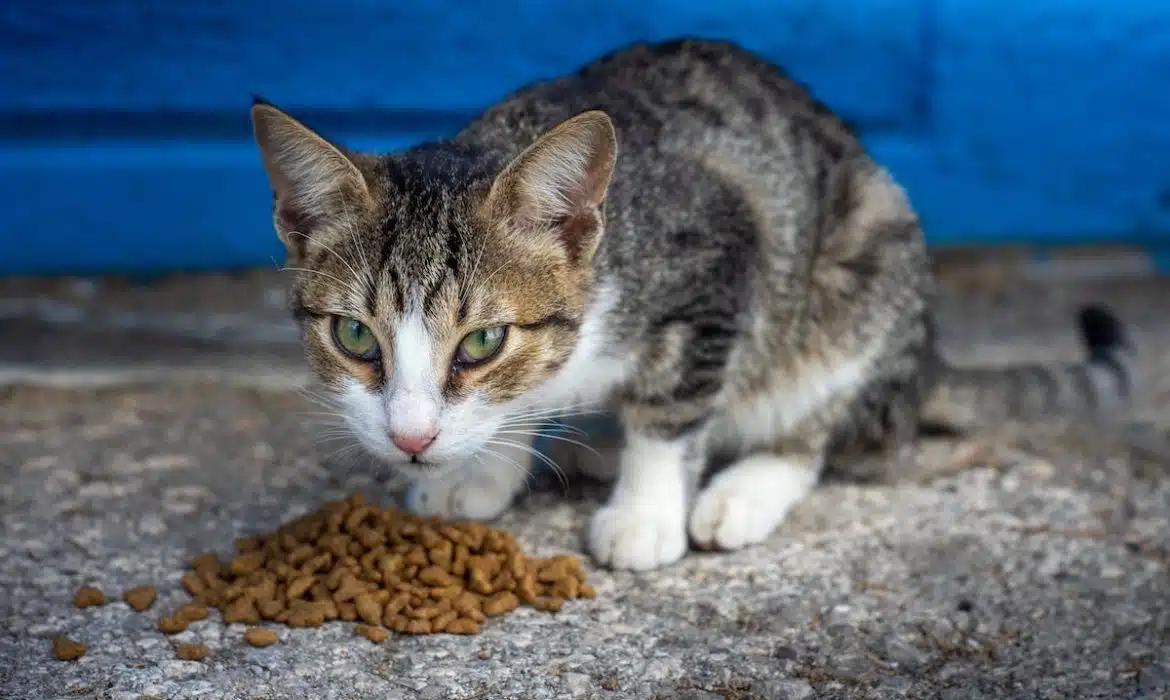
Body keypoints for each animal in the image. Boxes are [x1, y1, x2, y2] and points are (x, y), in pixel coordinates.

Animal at [249, 38, 1132, 573]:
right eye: (355, 335)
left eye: (481, 343)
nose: (410, 439)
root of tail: (927, 363)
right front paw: (486, 466)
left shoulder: (719, 259)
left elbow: (672, 411)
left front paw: (645, 513)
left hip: (863, 272)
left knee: (820, 429)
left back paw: (743, 489)